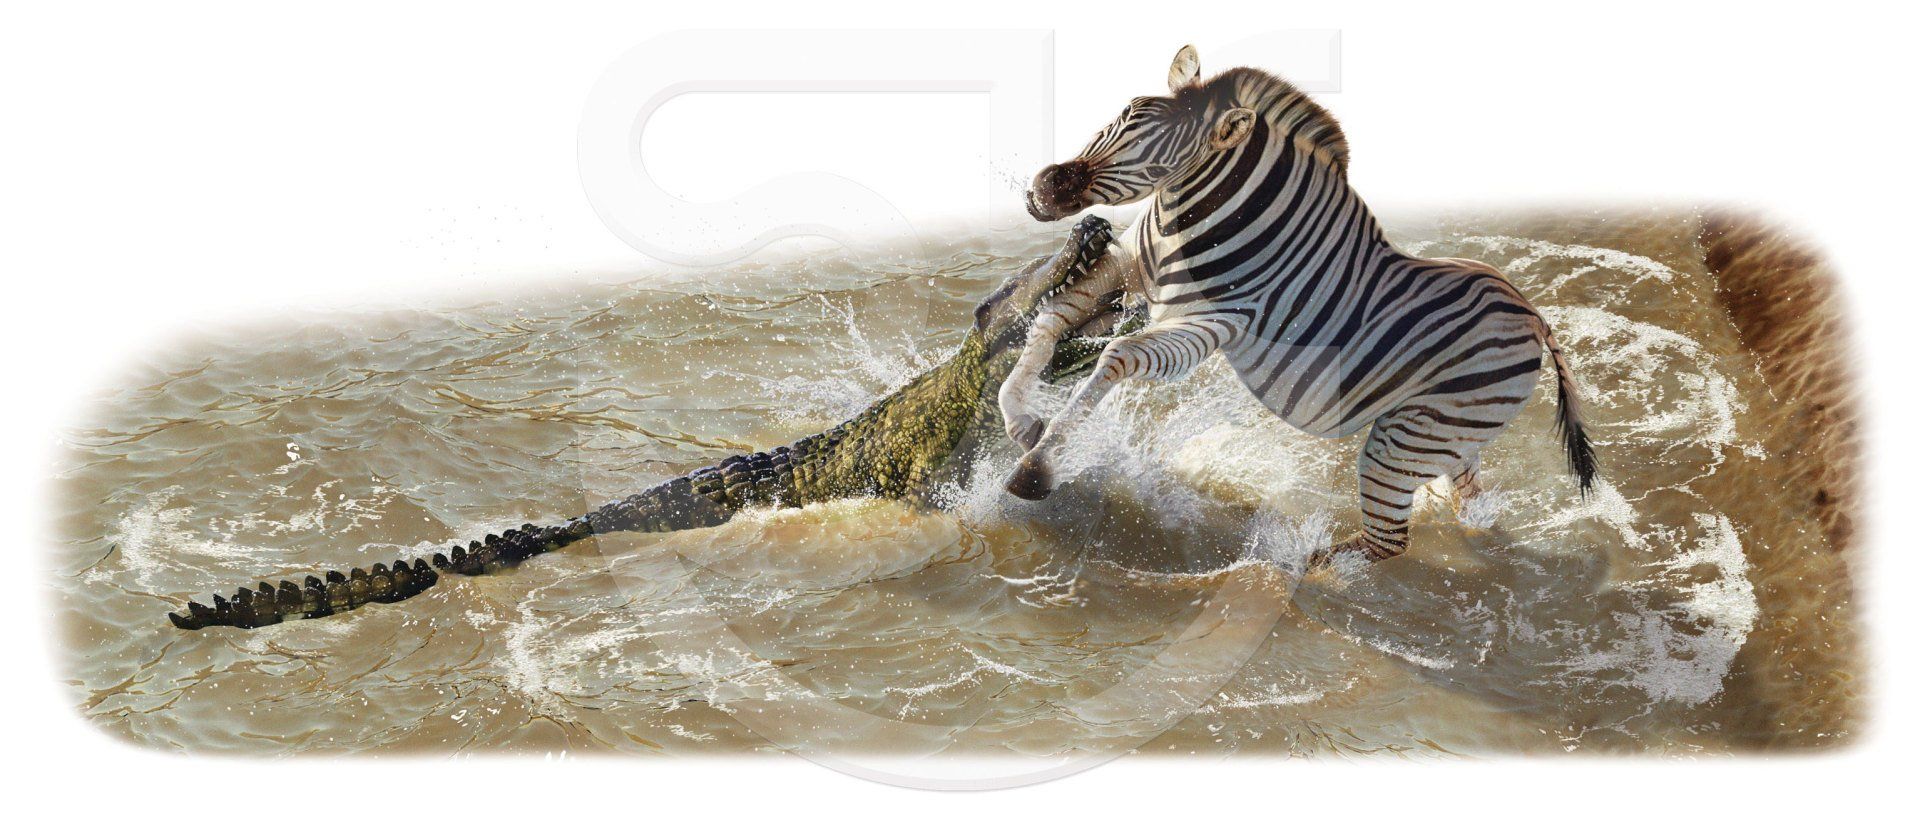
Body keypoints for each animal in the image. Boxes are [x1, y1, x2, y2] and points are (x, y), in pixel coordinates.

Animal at [998, 45, 1597, 567]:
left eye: (1171, 159)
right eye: (1125, 114)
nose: (1046, 188)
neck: (1188, 220)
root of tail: (1534, 316)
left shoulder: (1218, 321)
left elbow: (1117, 354)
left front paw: (1037, 469)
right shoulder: (1128, 264)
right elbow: (1049, 320)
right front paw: (1021, 419)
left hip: (1404, 438)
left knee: (1387, 542)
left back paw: (1289, 566)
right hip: (1451, 434)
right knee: (1466, 504)